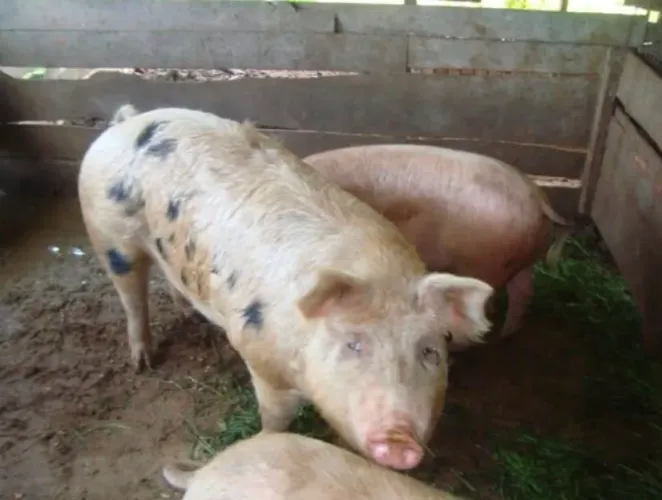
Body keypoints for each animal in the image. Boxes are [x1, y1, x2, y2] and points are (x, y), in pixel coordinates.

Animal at [77, 105, 494, 471]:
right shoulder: (258, 356)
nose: (398, 438)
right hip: (109, 237)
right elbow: (275, 417)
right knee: (131, 297)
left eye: (430, 352)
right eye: (353, 344)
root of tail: (127, 122)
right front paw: (266, 440)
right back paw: (142, 362)